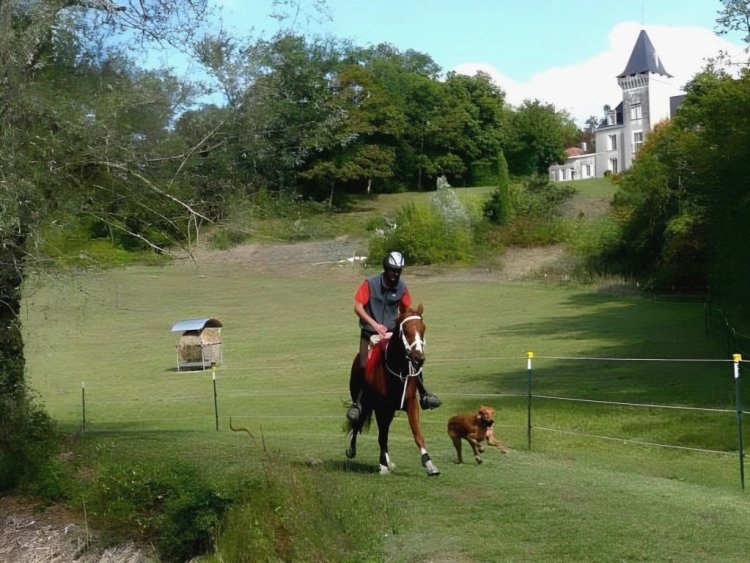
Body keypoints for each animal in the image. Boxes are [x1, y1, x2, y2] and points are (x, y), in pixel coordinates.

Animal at [345, 304, 440, 476]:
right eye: (406, 330)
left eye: (423, 328)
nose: (419, 358)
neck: (398, 369)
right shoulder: (381, 408)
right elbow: (381, 437)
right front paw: (382, 465)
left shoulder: (410, 404)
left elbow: (417, 434)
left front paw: (429, 464)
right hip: (365, 403)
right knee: (357, 422)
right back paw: (353, 449)